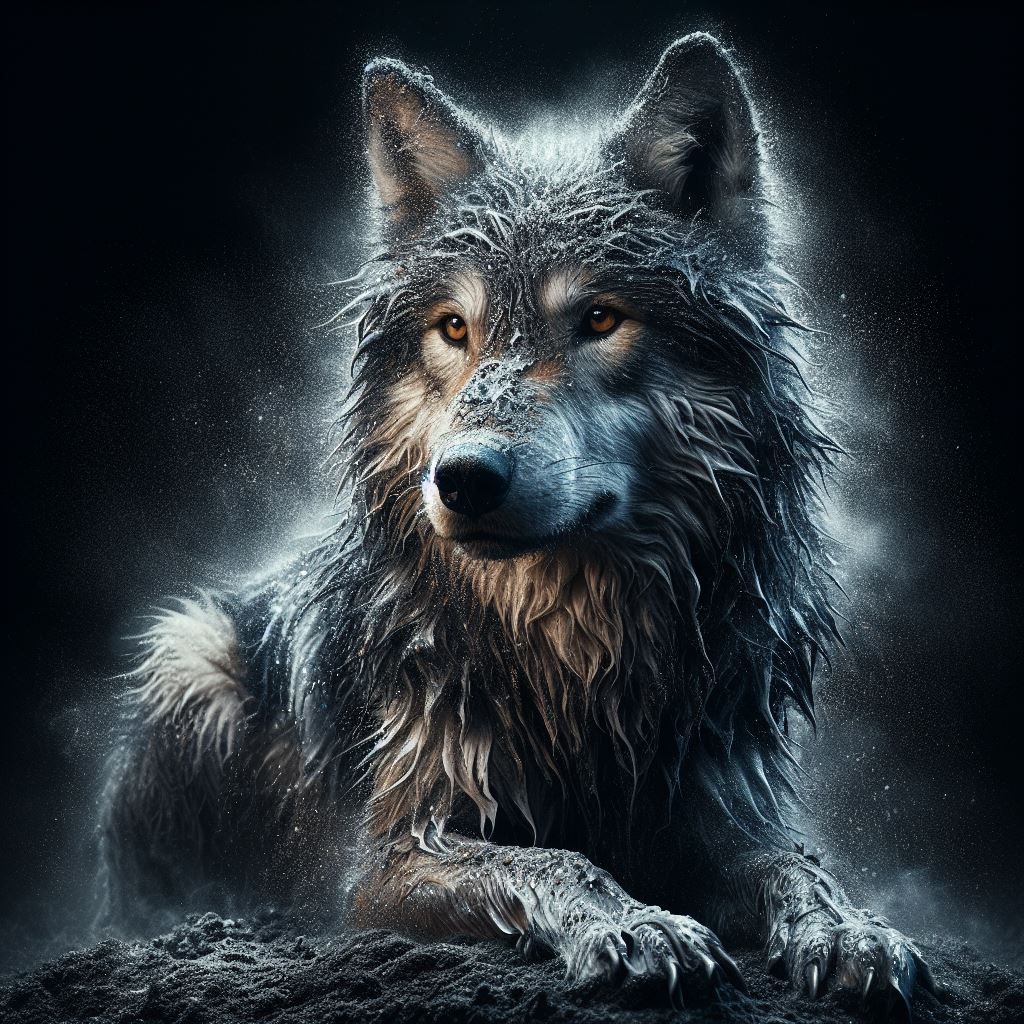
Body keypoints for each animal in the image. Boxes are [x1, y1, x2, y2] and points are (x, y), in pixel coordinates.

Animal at [101, 33, 936, 1015]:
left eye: (601, 318)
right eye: (454, 329)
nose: (462, 478)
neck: (577, 651)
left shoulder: (715, 806)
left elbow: (799, 866)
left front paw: (852, 930)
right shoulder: (386, 861)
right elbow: (552, 859)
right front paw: (638, 926)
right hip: (190, 653)